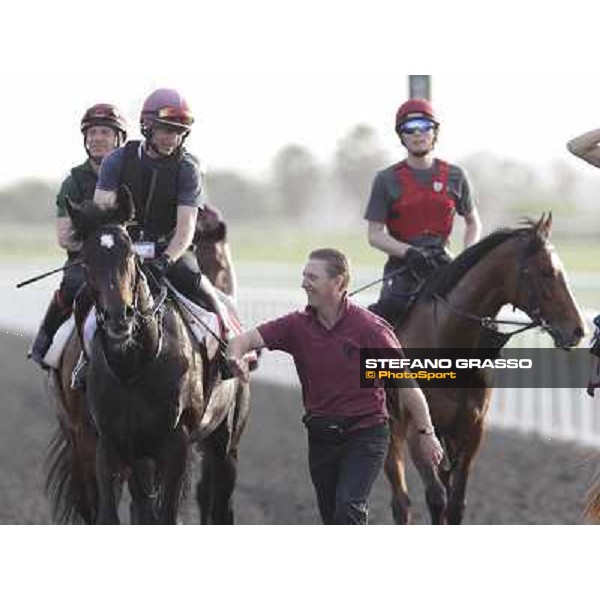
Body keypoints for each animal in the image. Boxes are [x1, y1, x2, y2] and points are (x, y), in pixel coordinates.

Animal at [42, 195, 248, 524]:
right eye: (86, 259)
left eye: (130, 254)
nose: (119, 317)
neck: (133, 366)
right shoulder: (110, 443)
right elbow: (110, 514)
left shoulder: (175, 444)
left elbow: (165, 515)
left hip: (224, 441)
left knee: (220, 504)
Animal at [384, 216, 584, 524]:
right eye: (547, 272)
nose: (577, 330)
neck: (447, 343)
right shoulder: (418, 427)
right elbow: (436, 498)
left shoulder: (472, 428)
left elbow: (456, 504)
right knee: (400, 498)